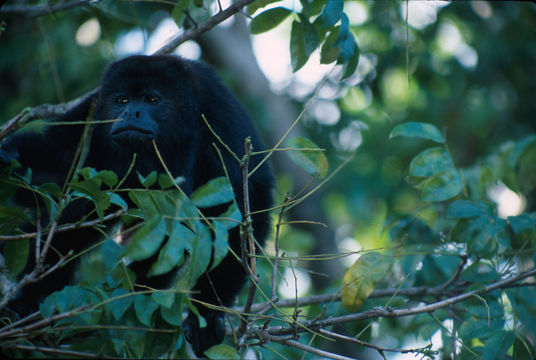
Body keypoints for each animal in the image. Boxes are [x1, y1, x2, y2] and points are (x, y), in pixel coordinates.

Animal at [0, 54, 274, 356]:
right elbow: (64, 166)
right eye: (121, 100)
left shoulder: (218, 113)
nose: (131, 113)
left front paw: (207, 313)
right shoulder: (94, 107)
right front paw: (8, 157)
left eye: (152, 99)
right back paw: (27, 304)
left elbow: (240, 207)